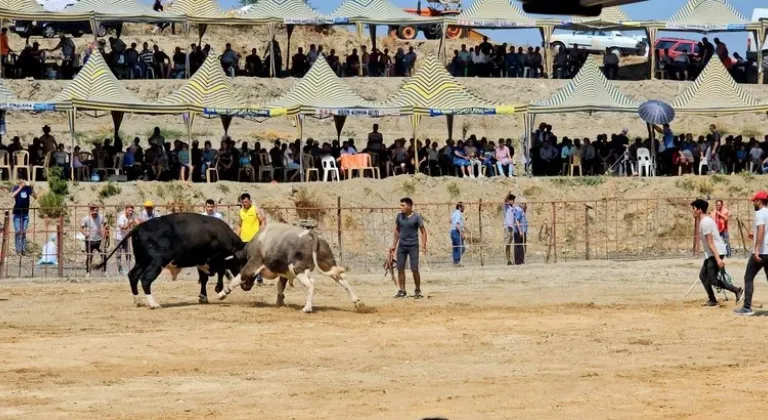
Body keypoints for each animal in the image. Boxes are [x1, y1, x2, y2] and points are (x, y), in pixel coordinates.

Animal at [94, 213, 246, 308]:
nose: (246, 284)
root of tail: (138, 227)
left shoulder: (201, 261)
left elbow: (205, 278)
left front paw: (204, 297)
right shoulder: (213, 259)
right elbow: (219, 271)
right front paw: (219, 290)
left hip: (142, 261)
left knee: (133, 276)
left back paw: (137, 301)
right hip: (156, 263)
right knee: (145, 279)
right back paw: (153, 304)